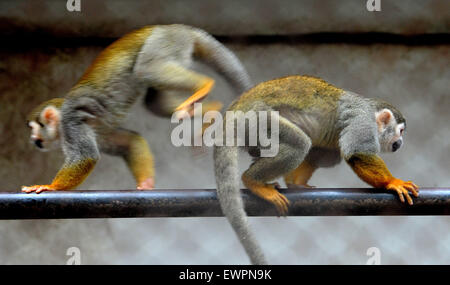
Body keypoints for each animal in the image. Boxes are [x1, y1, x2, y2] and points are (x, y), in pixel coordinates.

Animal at [22, 24, 251, 193]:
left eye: (34, 127)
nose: (33, 139)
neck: (61, 123)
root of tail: (178, 27)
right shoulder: (100, 133)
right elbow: (130, 142)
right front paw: (146, 183)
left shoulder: (71, 123)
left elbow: (86, 156)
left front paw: (50, 187)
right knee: (153, 101)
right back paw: (209, 108)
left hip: (164, 42)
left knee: (147, 68)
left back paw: (205, 84)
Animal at [214, 75, 418, 264]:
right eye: (400, 132)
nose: (400, 142)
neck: (372, 116)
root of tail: (237, 107)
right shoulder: (362, 122)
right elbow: (357, 153)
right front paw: (392, 182)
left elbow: (321, 155)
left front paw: (297, 184)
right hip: (257, 119)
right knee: (299, 143)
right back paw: (252, 180)